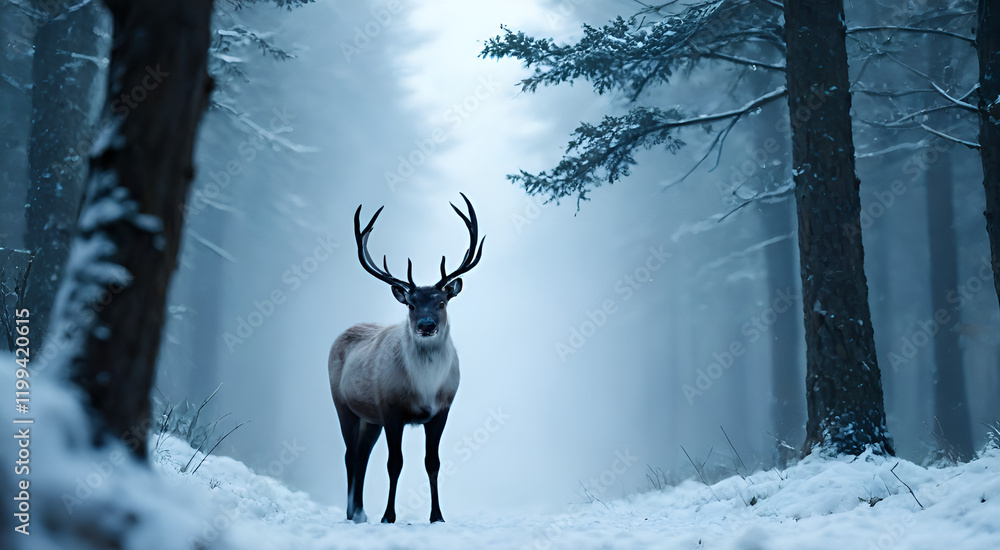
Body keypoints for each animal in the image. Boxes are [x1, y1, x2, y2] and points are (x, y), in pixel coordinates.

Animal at [328, 193, 484, 524]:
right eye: (411, 304)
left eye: (441, 301)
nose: (426, 325)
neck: (424, 389)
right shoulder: (391, 408)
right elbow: (394, 463)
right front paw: (389, 516)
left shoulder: (442, 409)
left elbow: (432, 462)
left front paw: (437, 516)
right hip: (342, 403)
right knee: (350, 454)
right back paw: (351, 513)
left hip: (369, 417)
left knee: (362, 455)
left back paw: (360, 511)